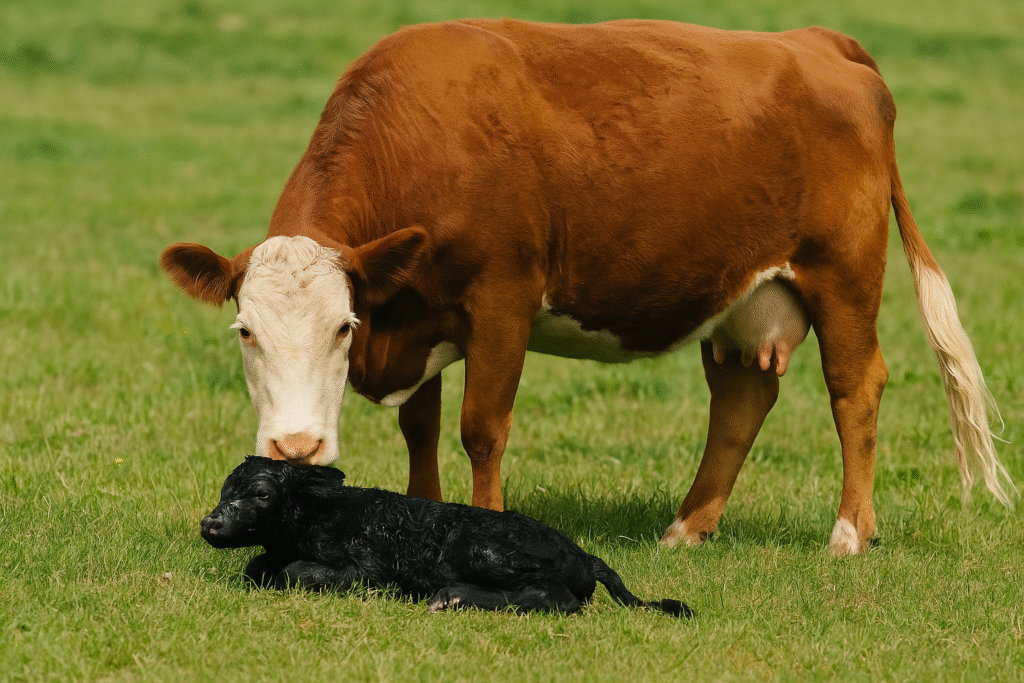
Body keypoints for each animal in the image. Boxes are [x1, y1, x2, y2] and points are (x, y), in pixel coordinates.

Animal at [161, 19, 1016, 558]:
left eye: (343, 325)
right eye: (244, 330)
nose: (295, 448)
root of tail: (813, 40)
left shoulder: (500, 298)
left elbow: (480, 427)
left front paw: (484, 521)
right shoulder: (416, 305)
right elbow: (422, 430)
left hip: (842, 274)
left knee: (856, 387)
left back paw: (848, 532)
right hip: (741, 298)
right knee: (742, 402)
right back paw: (688, 526)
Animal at [201, 457, 691, 617]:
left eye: (262, 494)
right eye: (225, 489)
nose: (210, 524)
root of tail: (586, 557)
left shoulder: (366, 569)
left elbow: (295, 572)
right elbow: (258, 566)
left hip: (482, 550)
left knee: (555, 598)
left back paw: (451, 597)